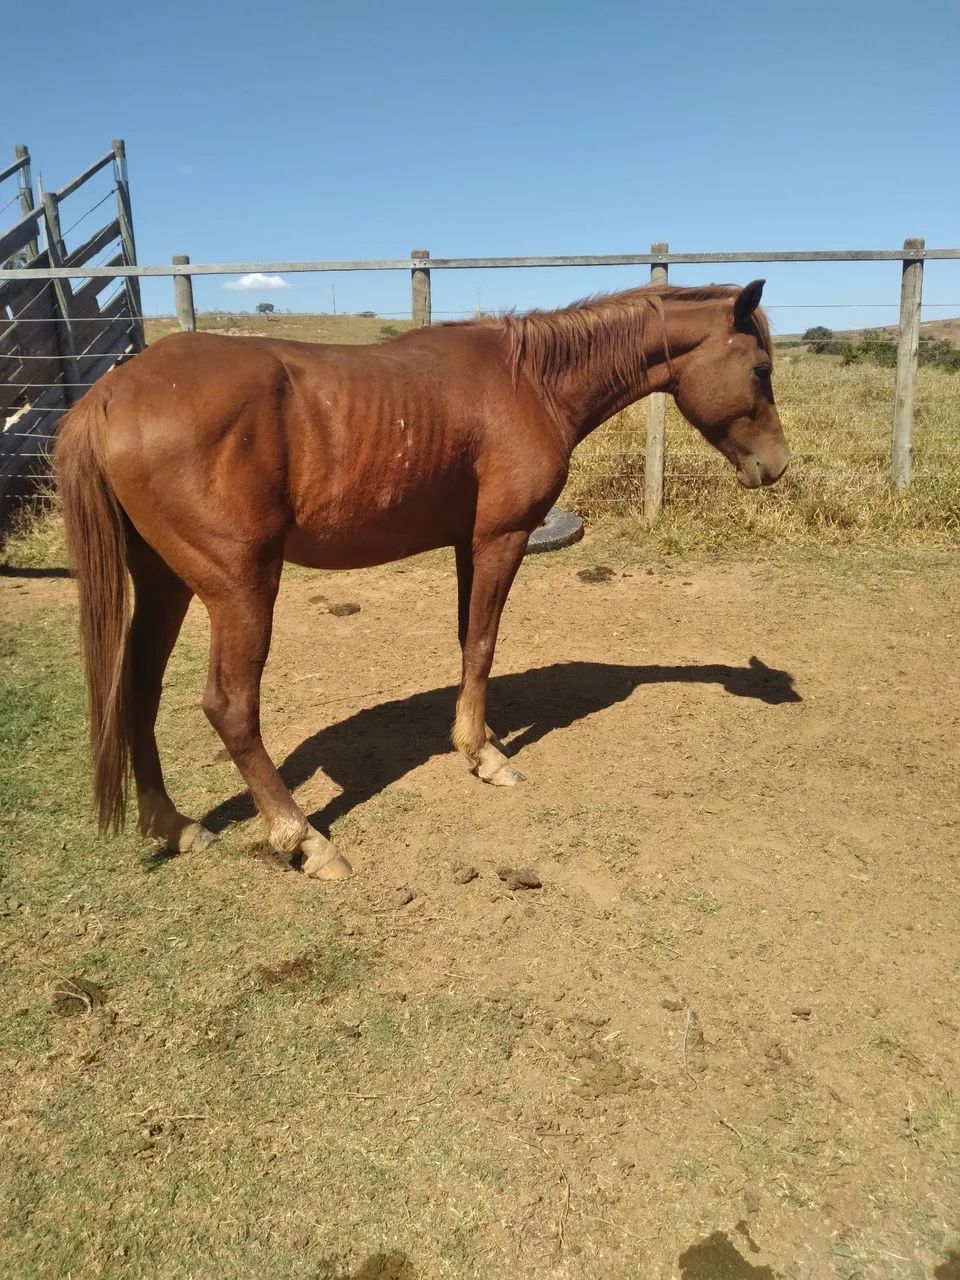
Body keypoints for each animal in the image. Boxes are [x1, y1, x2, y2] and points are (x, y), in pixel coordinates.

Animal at [54, 280, 788, 880]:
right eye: (760, 368)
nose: (777, 465)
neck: (529, 382)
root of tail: (107, 396)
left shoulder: (469, 544)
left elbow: (468, 643)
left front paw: (476, 739)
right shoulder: (501, 539)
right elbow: (484, 645)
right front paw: (483, 756)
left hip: (165, 583)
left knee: (138, 688)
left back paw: (174, 825)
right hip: (239, 588)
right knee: (230, 708)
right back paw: (303, 838)